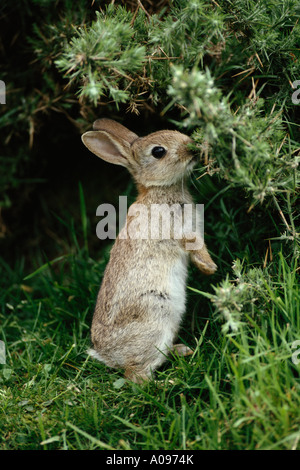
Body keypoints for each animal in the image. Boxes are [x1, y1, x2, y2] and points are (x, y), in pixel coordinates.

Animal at [81, 117, 217, 382]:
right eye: (158, 152)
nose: (193, 147)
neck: (160, 190)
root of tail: (107, 355)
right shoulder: (180, 231)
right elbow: (195, 245)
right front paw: (210, 267)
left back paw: (182, 350)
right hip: (157, 316)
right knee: (137, 375)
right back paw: (167, 383)